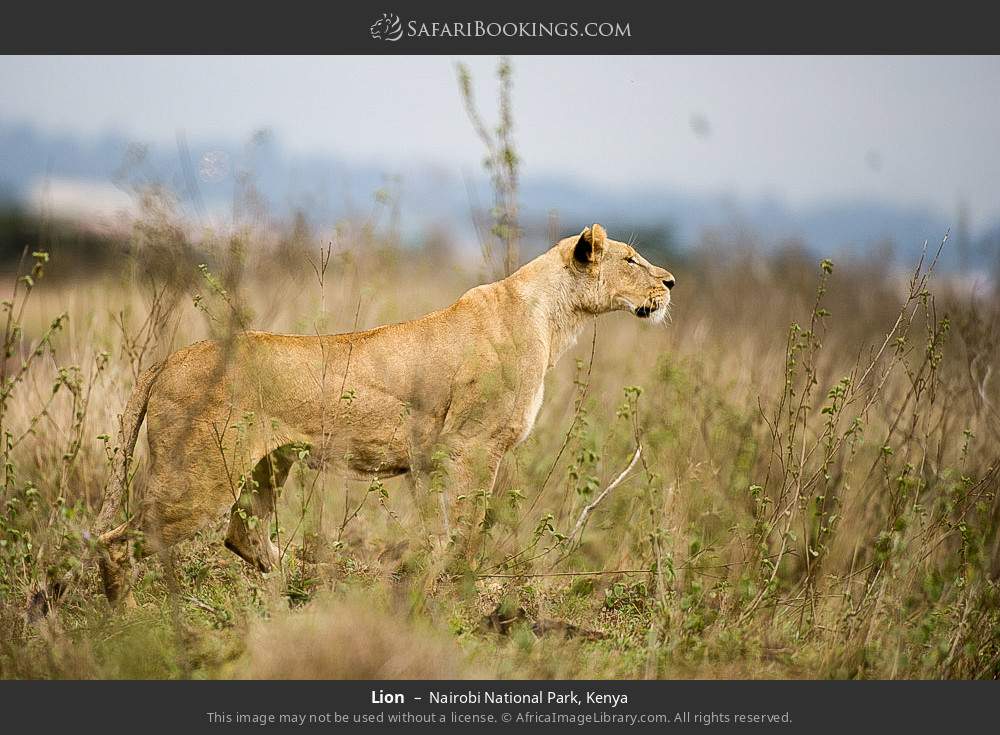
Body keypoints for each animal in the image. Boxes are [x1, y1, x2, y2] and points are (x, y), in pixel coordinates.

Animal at [94, 224, 675, 603]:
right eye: (630, 260)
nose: (670, 283)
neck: (551, 317)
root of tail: (168, 358)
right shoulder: (473, 445)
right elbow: (467, 526)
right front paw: (461, 592)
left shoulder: (431, 456)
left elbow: (439, 531)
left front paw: (427, 584)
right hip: (198, 477)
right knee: (118, 541)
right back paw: (129, 621)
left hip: (267, 465)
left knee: (240, 532)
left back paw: (302, 586)